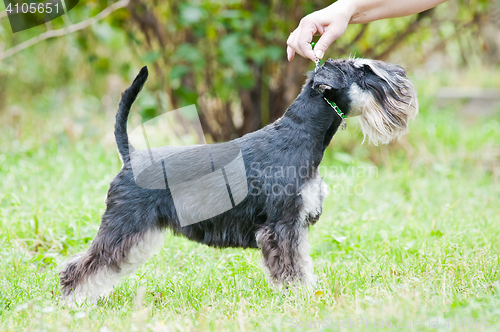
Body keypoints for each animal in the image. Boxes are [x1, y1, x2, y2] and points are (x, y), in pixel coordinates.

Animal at [58, 57, 418, 304]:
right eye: (363, 71)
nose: (402, 75)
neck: (301, 135)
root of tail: (131, 157)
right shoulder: (281, 226)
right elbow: (291, 267)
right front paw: (297, 298)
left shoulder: (294, 226)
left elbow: (300, 262)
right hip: (123, 226)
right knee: (82, 266)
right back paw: (72, 301)